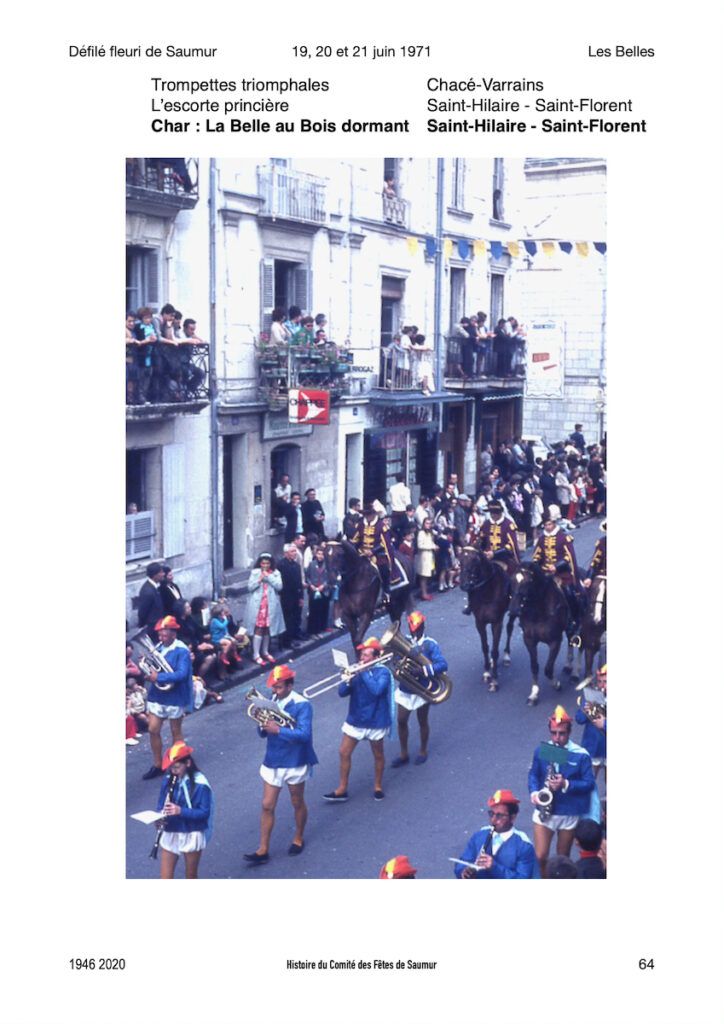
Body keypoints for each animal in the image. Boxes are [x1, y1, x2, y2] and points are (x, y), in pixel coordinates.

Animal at [460, 544, 512, 696]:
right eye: (460, 559)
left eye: (475, 560)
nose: (464, 585)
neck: (487, 591)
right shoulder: (480, 622)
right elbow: (485, 647)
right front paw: (487, 672)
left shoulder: (497, 623)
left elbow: (494, 650)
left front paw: (494, 681)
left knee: (510, 629)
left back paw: (506, 656)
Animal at [520, 561, 573, 704]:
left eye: (530, 580)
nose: (513, 609)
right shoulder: (529, 640)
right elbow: (534, 666)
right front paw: (534, 694)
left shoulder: (555, 641)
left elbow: (548, 669)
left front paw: (556, 684)